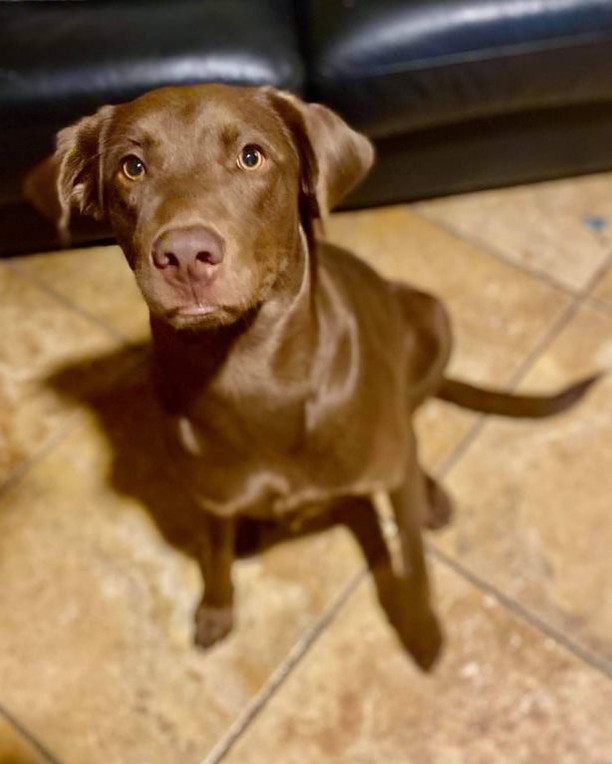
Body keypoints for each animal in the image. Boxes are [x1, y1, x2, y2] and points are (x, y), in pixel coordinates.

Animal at [26, 85, 596, 668]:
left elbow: (412, 556)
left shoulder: (386, 473)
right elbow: (214, 555)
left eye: (251, 156)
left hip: (432, 316)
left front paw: (421, 629)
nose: (184, 255)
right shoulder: (210, 497)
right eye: (132, 167)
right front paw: (216, 608)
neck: (250, 371)